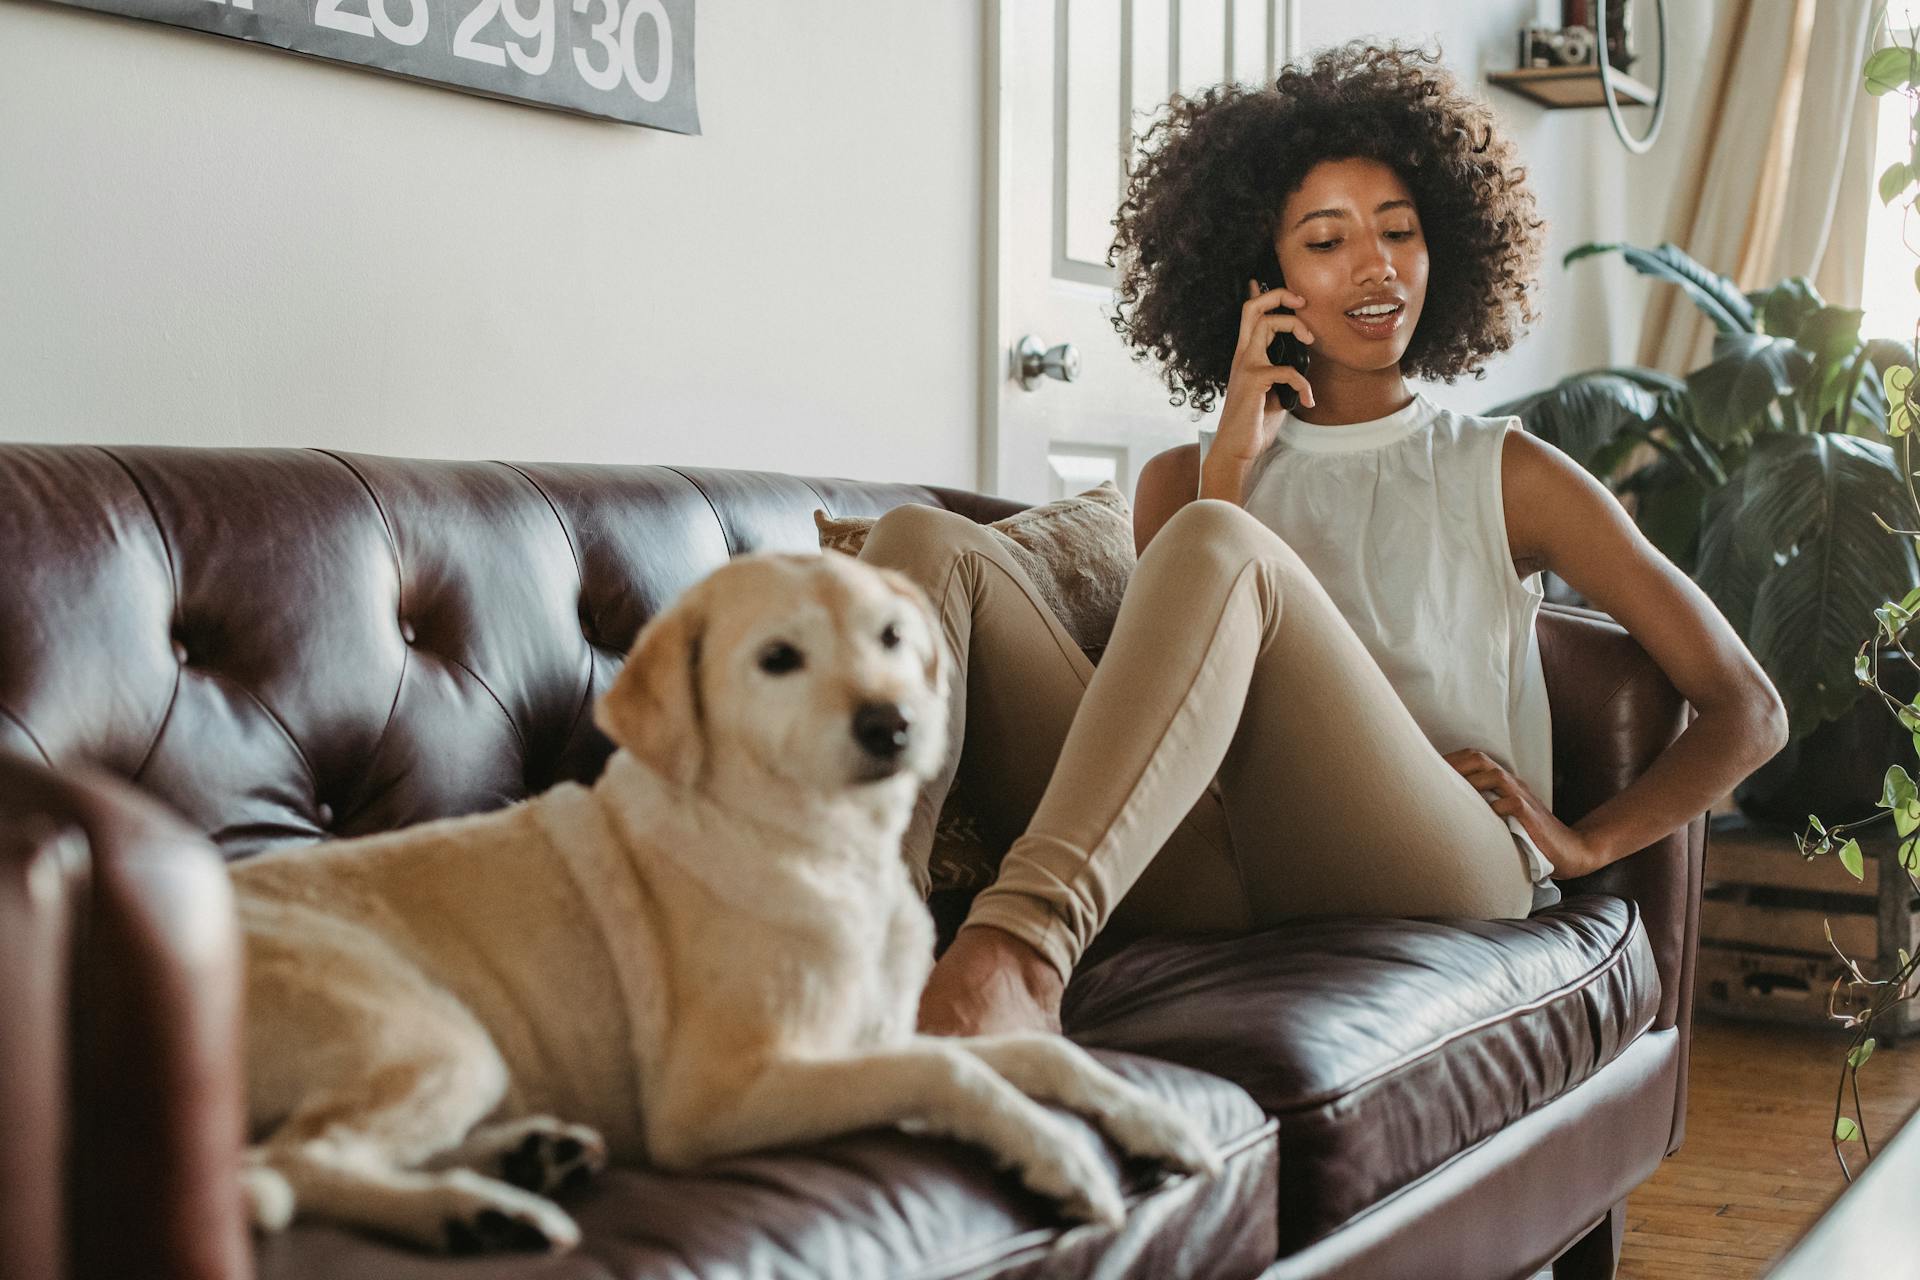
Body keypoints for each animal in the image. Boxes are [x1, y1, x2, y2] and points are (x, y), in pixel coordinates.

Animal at [228, 548, 1213, 1251]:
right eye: (779, 659)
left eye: (892, 637)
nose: (894, 723)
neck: (828, 853)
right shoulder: (724, 1095)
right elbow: (955, 1071)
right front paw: (1058, 1154)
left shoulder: (879, 1037)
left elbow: (1043, 1055)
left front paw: (1152, 1117)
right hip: (435, 1035)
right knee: (294, 1158)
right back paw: (472, 1214)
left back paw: (524, 1162)